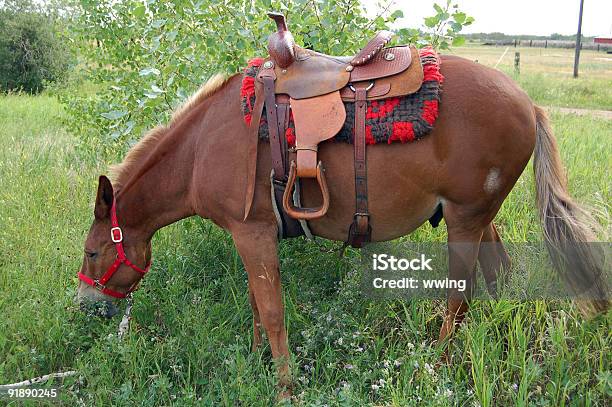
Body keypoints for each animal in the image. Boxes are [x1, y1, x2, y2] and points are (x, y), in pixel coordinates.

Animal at [75, 56, 608, 392]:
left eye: (93, 252)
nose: (85, 306)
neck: (204, 145)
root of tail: (528, 103)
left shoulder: (252, 233)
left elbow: (272, 311)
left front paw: (285, 386)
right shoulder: (249, 235)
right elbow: (256, 304)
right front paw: (255, 359)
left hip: (465, 221)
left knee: (459, 300)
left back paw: (435, 367)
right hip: (480, 219)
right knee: (498, 278)